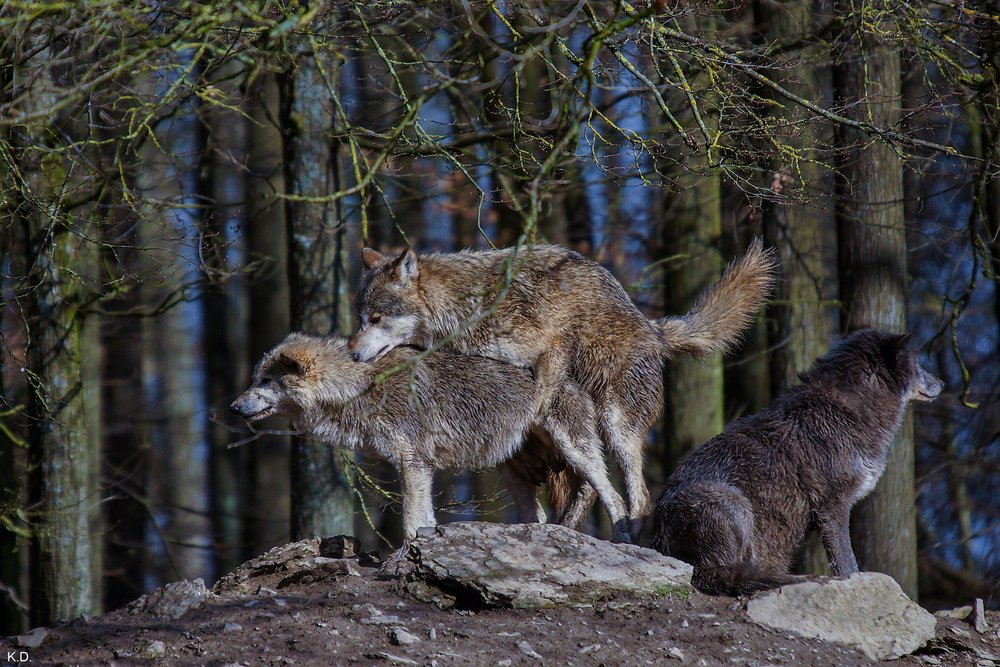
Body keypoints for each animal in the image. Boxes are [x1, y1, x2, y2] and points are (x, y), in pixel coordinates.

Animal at [230, 333, 630, 541]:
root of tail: (577, 383)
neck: (358, 388)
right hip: (511, 472)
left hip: (575, 454)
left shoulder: (413, 463)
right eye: (255, 379)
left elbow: (412, 521)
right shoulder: (418, 467)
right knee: (542, 517)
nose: (233, 407)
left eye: (266, 381)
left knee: (614, 497)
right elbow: (423, 520)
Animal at [348, 239, 776, 539]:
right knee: (583, 489)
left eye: (376, 318)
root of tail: (654, 330)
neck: (468, 306)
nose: (351, 353)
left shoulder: (548, 349)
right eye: (360, 318)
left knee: (633, 494)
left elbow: (538, 398)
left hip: (615, 423)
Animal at [649, 329, 944, 596]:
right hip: (733, 502)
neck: (849, 410)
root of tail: (658, 539)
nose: (941, 383)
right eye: (919, 364)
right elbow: (846, 561)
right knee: (718, 575)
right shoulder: (833, 507)